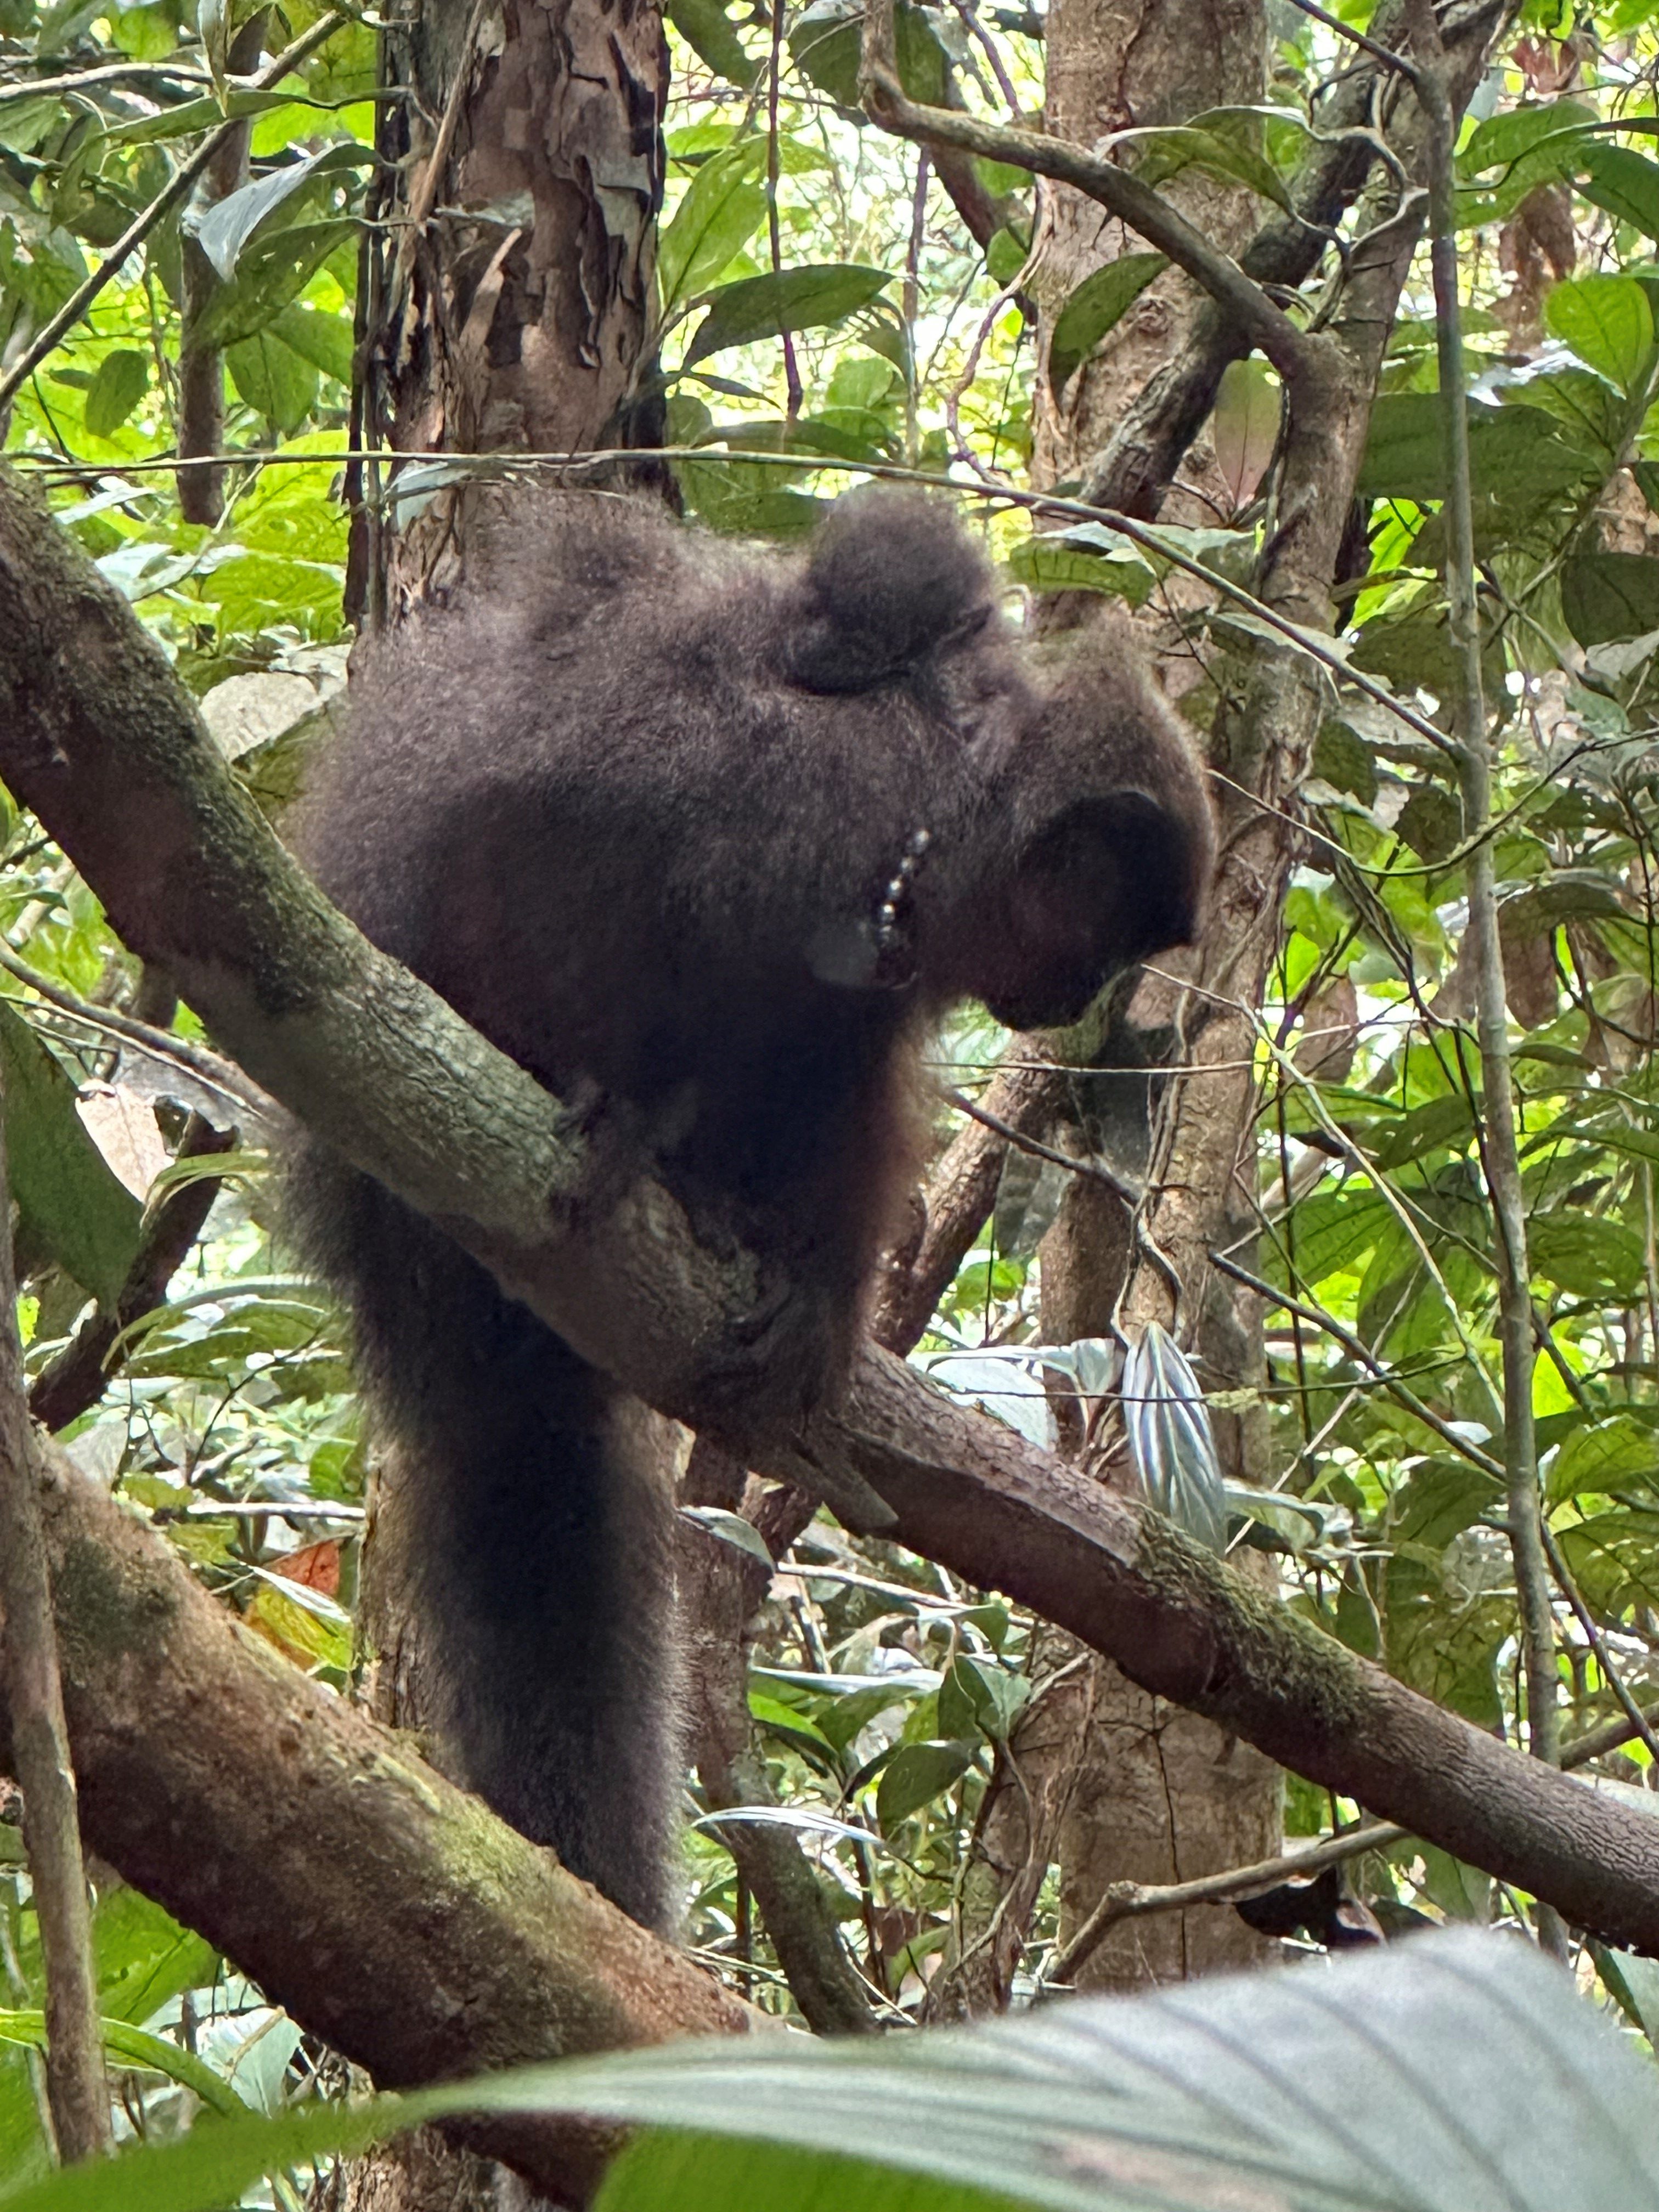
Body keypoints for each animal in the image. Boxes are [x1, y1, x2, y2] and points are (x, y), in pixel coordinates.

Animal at [284, 487, 1215, 1932]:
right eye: (1104, 943)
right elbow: (551, 820)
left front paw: (817, 1288)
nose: (1087, 1002)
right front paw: (620, 1101)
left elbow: (833, 1071)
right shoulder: (807, 802)